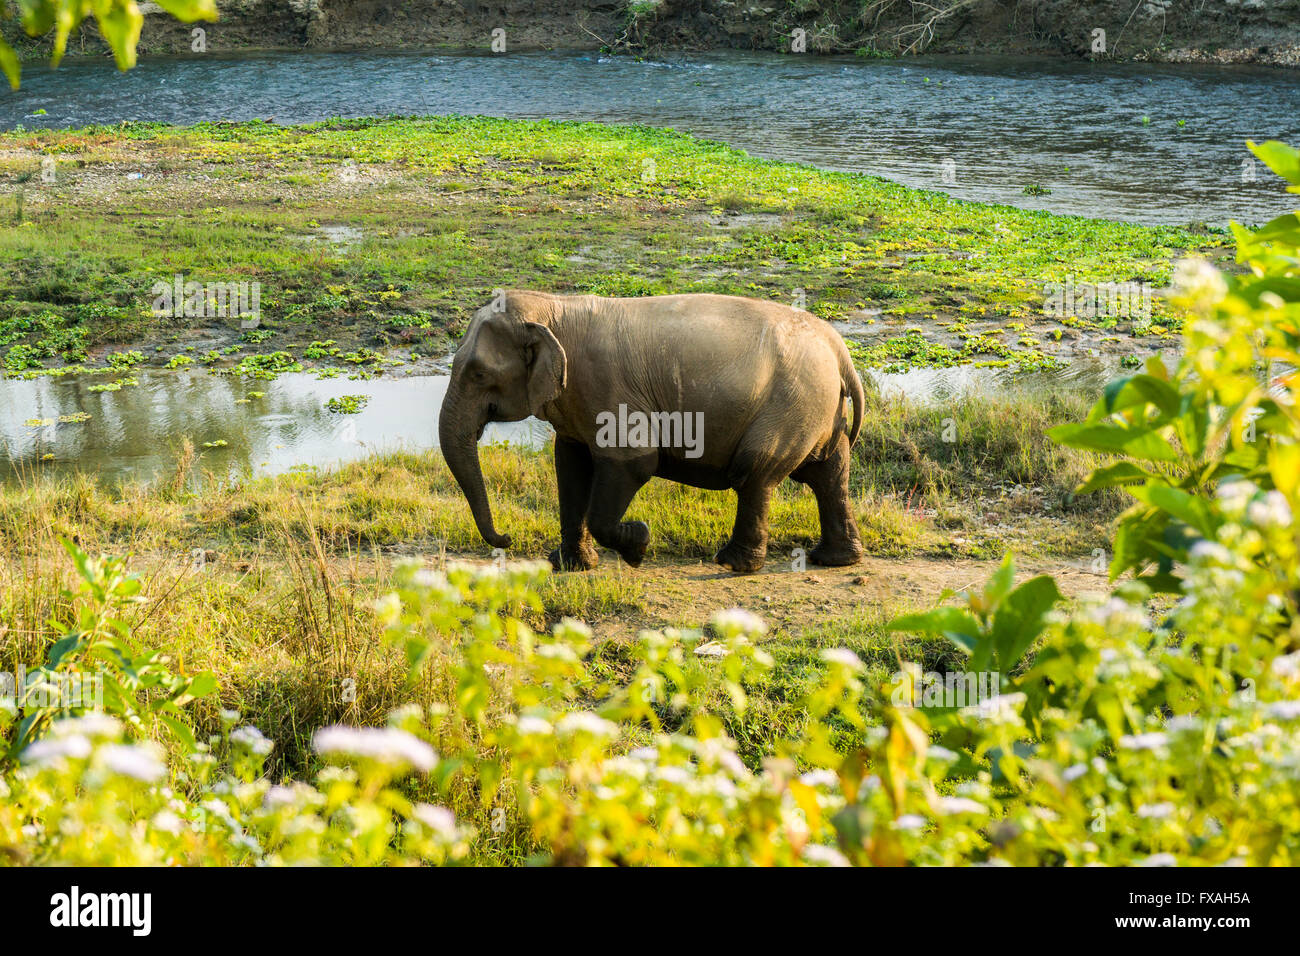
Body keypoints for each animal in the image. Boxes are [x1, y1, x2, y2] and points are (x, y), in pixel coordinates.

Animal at [436, 291, 863, 572]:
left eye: (478, 373)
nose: (506, 539)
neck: (553, 307)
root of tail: (839, 348)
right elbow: (570, 465)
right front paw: (570, 565)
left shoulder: (609, 388)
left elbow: (634, 462)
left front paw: (638, 546)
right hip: (817, 408)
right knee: (827, 473)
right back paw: (835, 560)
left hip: (792, 403)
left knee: (755, 473)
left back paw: (733, 564)